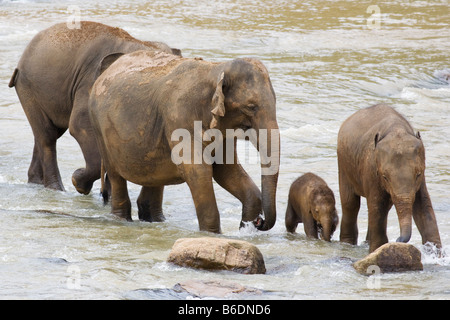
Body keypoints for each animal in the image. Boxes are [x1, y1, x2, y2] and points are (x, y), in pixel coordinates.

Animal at [8, 21, 181, 195]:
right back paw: (57, 189)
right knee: (47, 136)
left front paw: (106, 194)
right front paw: (78, 182)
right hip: (28, 88)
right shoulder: (90, 82)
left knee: (48, 133)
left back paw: (35, 183)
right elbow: (79, 126)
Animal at [88, 51, 280, 234]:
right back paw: (122, 220)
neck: (217, 69)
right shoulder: (179, 116)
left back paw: (154, 220)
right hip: (99, 128)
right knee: (115, 175)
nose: (259, 222)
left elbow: (227, 170)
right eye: (251, 107)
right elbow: (198, 172)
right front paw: (212, 235)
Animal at [338, 104, 440, 252]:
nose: (398, 239)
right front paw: (378, 249)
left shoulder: (421, 182)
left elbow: (424, 206)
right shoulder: (371, 171)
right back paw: (347, 243)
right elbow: (376, 207)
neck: (397, 129)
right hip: (344, 166)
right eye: (385, 177)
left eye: (418, 174)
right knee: (350, 204)